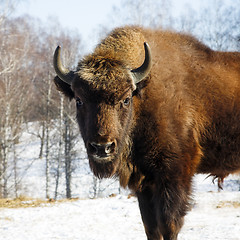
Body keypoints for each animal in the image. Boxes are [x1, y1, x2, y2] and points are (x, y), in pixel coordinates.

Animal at [53, 26, 240, 240]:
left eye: (125, 99)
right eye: (79, 100)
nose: (102, 148)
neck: (143, 97)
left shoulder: (173, 177)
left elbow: (168, 225)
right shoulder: (143, 183)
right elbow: (151, 226)